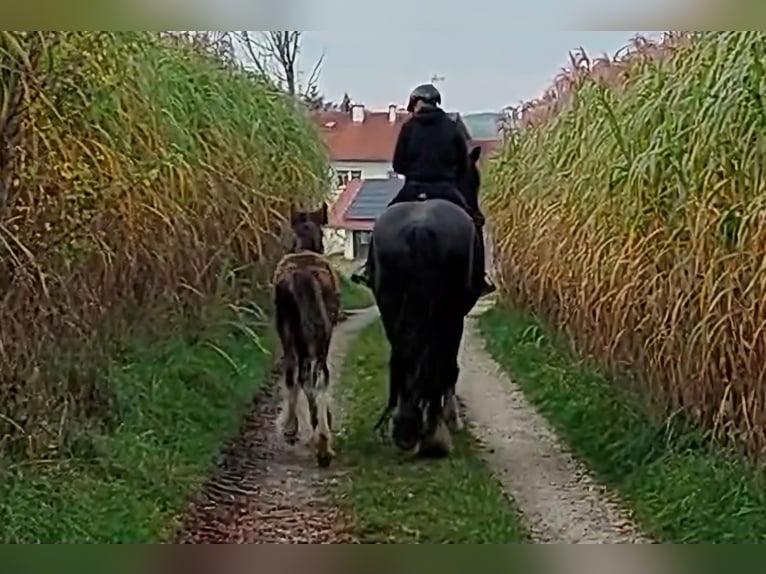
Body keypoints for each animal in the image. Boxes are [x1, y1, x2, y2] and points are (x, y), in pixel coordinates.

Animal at [272, 206, 340, 468]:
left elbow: (294, 379)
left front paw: (291, 428)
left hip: (291, 336)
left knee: (297, 377)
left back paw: (301, 432)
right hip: (320, 341)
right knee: (319, 379)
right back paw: (323, 441)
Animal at [368, 147, 484, 460]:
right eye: (476, 179)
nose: (480, 217)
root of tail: (419, 227)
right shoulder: (457, 316)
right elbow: (449, 364)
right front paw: (451, 418)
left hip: (390, 306)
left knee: (404, 355)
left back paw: (407, 427)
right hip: (448, 311)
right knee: (438, 361)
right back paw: (434, 434)